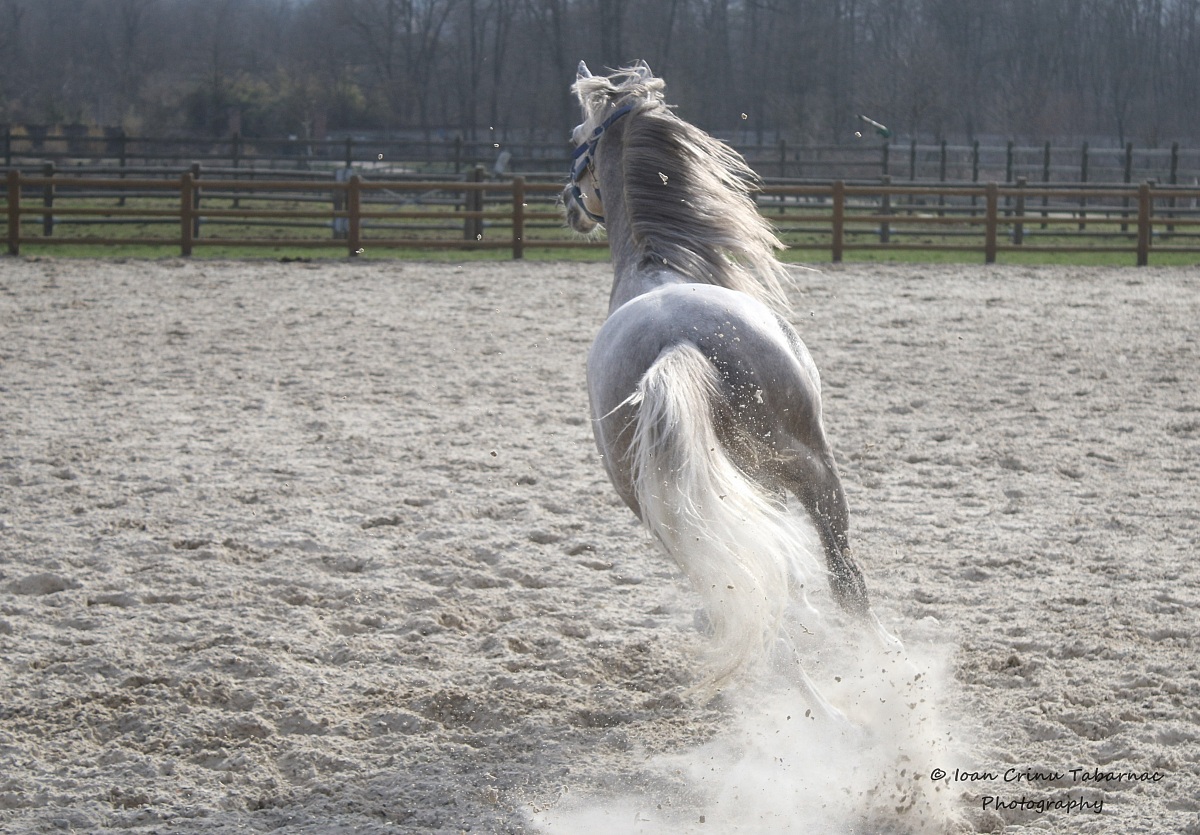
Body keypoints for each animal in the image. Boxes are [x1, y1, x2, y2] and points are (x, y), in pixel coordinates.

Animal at [563, 61, 898, 698]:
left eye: (578, 140)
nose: (567, 204)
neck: (658, 266)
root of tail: (676, 344)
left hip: (696, 505)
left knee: (766, 591)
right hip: (810, 470)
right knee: (836, 582)